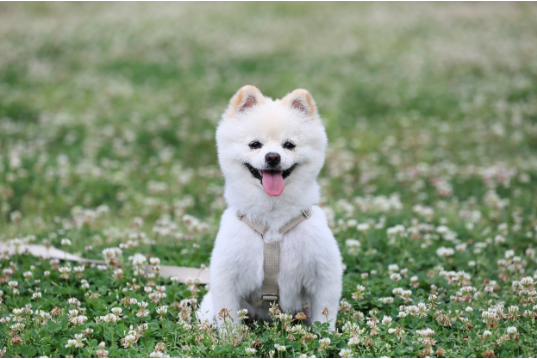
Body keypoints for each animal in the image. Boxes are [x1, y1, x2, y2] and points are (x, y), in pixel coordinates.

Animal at [198, 86, 344, 330]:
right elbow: (229, 321)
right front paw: (232, 338)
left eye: (289, 145)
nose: (273, 157)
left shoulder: (324, 276)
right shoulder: (226, 278)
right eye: (255, 144)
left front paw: (326, 336)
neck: (273, 225)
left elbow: (324, 318)